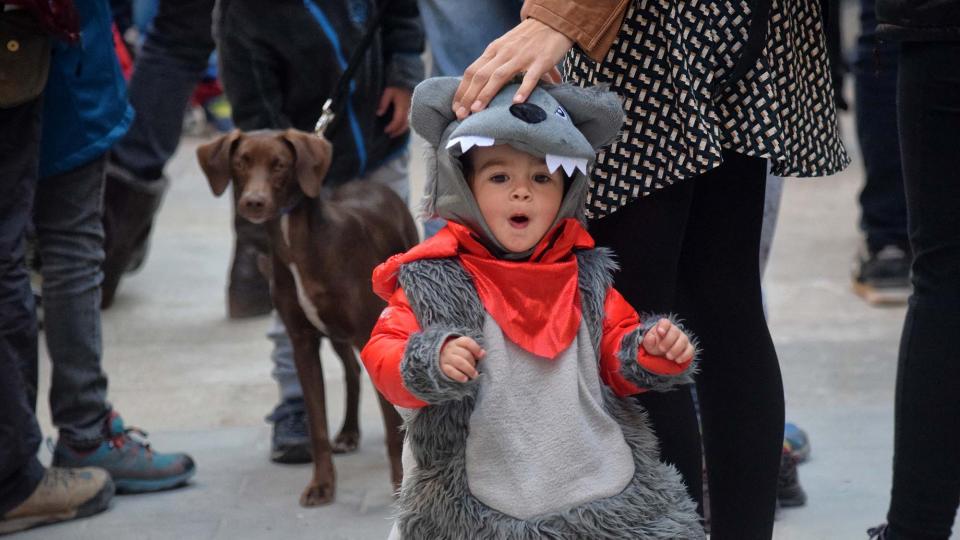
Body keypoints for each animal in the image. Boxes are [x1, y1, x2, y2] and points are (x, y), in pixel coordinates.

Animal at [197, 130, 414, 506]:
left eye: (280, 165)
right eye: (241, 162)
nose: (253, 202)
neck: (295, 243)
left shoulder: (367, 334)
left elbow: (389, 424)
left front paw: (400, 484)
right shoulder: (302, 342)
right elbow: (317, 427)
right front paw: (322, 485)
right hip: (337, 333)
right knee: (352, 371)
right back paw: (348, 432)